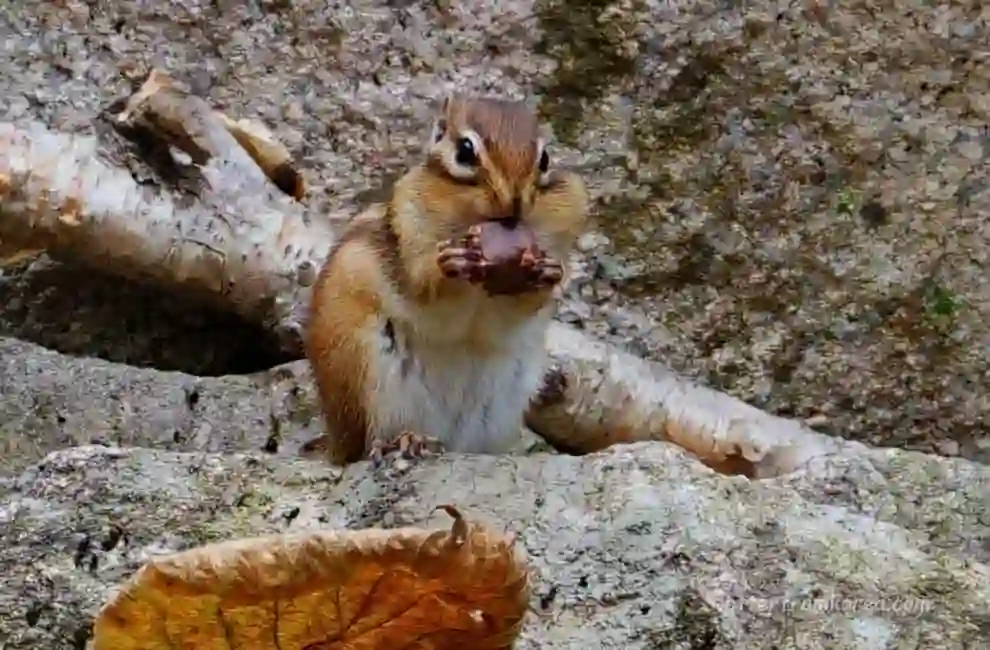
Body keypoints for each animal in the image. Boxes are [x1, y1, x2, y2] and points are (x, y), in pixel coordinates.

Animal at [302, 93, 589, 466]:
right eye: (465, 151)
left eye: (545, 158)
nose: (514, 201)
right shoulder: (410, 225)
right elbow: (425, 286)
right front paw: (449, 264)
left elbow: (527, 303)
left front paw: (548, 272)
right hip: (364, 372)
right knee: (367, 445)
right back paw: (404, 441)